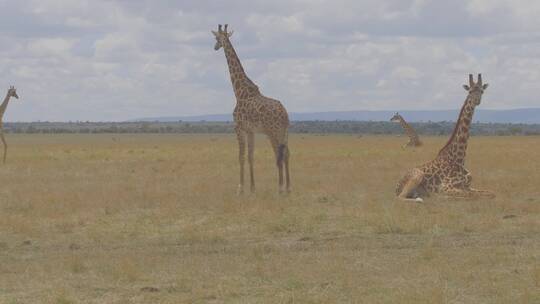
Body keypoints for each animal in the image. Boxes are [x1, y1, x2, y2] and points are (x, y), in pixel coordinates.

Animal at [213, 25, 292, 194]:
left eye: (217, 38)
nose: (215, 47)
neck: (239, 91)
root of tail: (284, 113)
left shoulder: (238, 127)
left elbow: (241, 156)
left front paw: (240, 188)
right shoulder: (251, 131)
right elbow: (250, 156)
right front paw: (252, 188)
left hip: (272, 132)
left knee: (279, 155)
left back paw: (280, 187)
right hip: (284, 132)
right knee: (287, 153)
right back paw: (288, 188)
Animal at [394, 74, 496, 202]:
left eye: (482, 91)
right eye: (470, 91)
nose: (477, 101)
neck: (459, 160)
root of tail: (396, 186)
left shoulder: (467, 186)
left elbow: (491, 193)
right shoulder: (446, 187)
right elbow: (469, 196)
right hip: (417, 175)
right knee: (400, 197)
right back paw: (421, 199)